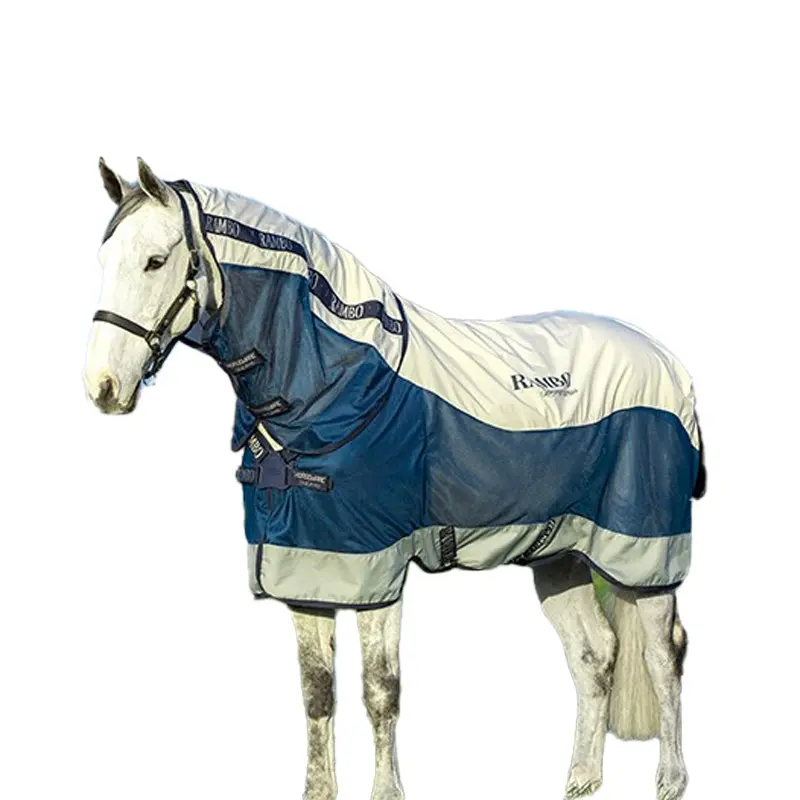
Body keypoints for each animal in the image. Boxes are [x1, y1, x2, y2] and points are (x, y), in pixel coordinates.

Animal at [84, 158, 705, 800]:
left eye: (156, 261)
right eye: (104, 260)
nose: (103, 387)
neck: (336, 390)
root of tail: (669, 364)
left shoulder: (376, 568)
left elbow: (381, 691)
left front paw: (387, 791)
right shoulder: (309, 567)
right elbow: (317, 692)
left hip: (642, 553)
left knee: (663, 657)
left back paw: (671, 779)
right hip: (558, 554)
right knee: (594, 654)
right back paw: (582, 778)